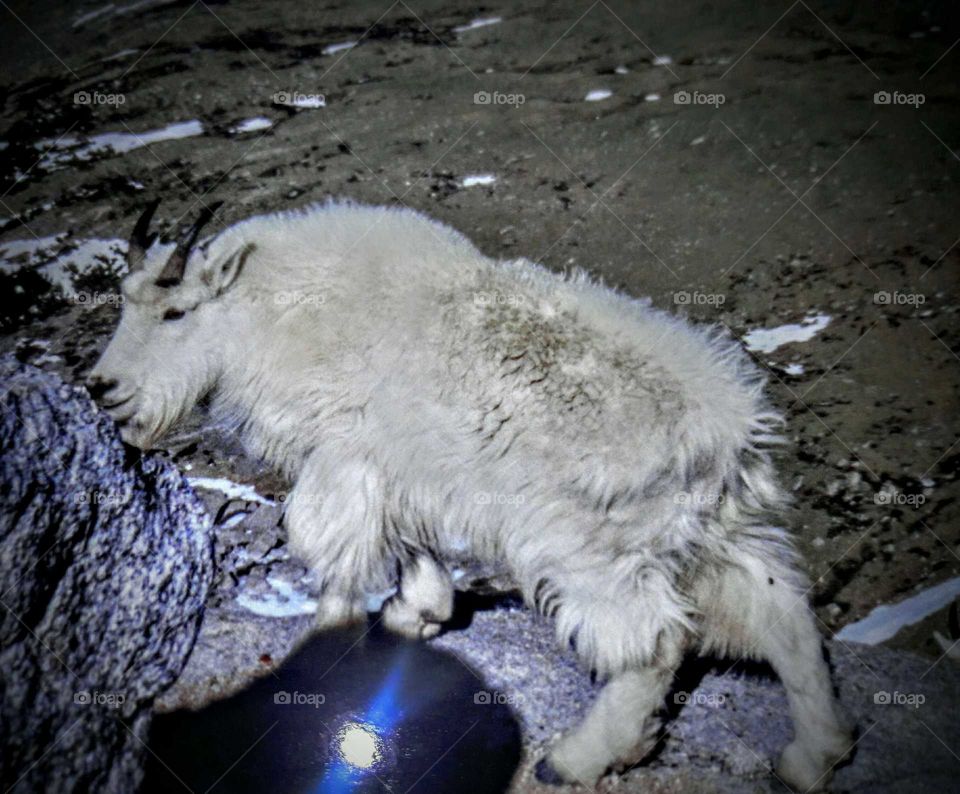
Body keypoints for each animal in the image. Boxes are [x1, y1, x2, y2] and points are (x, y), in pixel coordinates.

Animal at [87, 200, 853, 789]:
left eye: (177, 312)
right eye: (124, 303)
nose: (104, 389)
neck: (272, 311)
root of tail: (724, 434)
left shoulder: (347, 461)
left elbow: (336, 556)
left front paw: (331, 650)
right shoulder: (402, 474)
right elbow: (412, 548)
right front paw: (417, 617)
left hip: (592, 546)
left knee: (656, 646)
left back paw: (576, 759)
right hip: (718, 532)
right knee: (782, 615)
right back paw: (814, 757)